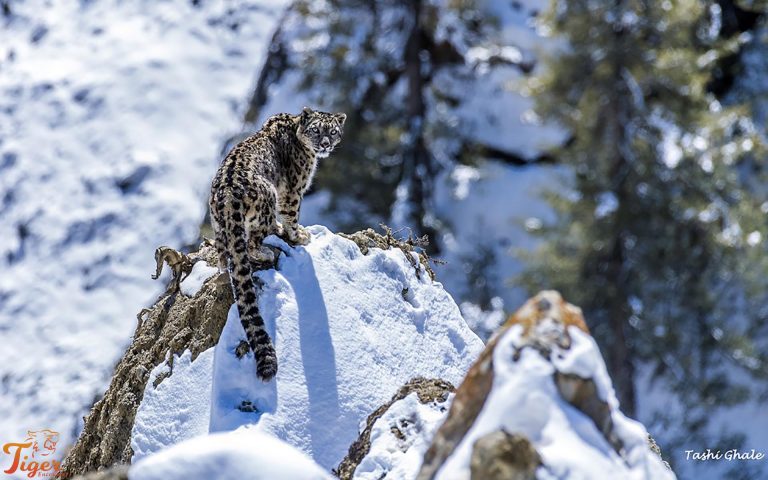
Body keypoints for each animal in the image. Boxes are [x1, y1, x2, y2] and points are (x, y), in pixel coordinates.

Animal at [209, 107, 346, 381]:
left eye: (333, 131)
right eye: (316, 130)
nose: (325, 144)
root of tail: (228, 194)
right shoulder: (293, 190)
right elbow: (292, 214)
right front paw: (298, 235)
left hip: (218, 227)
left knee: (224, 254)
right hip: (267, 199)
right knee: (252, 242)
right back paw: (267, 250)